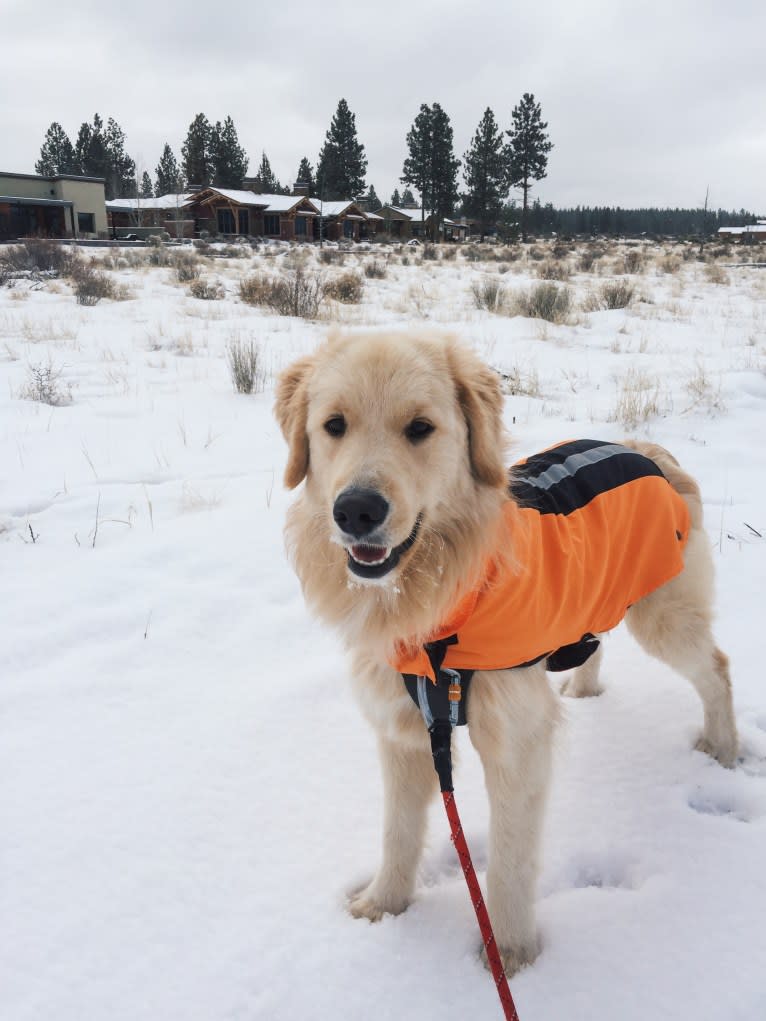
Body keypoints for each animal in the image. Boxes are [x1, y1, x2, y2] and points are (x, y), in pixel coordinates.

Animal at [273, 330, 739, 976]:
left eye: (420, 428)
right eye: (334, 425)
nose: (357, 511)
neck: (441, 607)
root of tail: (650, 453)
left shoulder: (516, 742)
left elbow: (511, 866)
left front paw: (510, 957)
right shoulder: (403, 730)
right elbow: (398, 832)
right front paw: (383, 907)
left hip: (662, 616)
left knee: (717, 668)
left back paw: (724, 749)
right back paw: (586, 690)